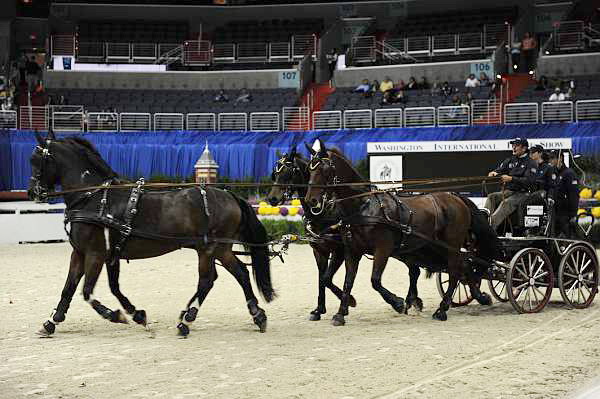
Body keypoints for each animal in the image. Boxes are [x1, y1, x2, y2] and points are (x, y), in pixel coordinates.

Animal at [26, 132, 274, 338]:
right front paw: (51, 322)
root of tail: (229, 195)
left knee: (207, 281)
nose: (32, 192)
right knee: (240, 273)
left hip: (210, 248)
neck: (93, 197)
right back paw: (257, 315)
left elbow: (87, 291)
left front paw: (116, 315)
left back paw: (186, 321)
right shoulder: (85, 253)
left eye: (36, 160)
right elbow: (73, 288)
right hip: (219, 249)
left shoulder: (96, 254)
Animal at [268, 148, 356, 322]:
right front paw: (319, 309)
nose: (272, 198)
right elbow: (321, 278)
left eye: (288, 173)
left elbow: (327, 278)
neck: (325, 211)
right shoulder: (318, 250)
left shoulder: (340, 250)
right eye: (275, 173)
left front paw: (349, 302)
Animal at [304, 139, 496, 326]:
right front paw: (341, 313)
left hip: (451, 245)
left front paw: (397, 303)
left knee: (455, 270)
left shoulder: (382, 249)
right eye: (309, 169)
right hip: (435, 246)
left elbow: (375, 280)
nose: (310, 200)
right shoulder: (351, 251)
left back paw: (442, 310)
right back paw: (478, 297)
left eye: (324, 169)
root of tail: (456, 197)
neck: (363, 206)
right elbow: (347, 282)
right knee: (462, 266)